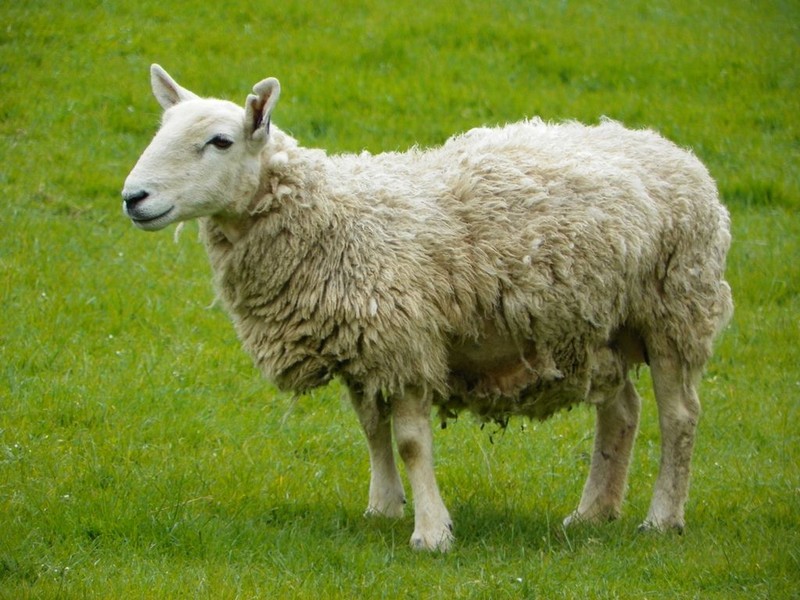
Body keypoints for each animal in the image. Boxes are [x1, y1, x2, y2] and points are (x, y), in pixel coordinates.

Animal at [120, 67, 732, 552]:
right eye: (160, 132)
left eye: (220, 141)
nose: (133, 198)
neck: (334, 218)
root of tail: (673, 150)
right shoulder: (363, 344)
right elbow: (371, 430)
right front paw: (383, 508)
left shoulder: (407, 342)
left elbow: (412, 441)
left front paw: (432, 532)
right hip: (595, 328)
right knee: (621, 411)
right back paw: (592, 513)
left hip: (675, 306)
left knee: (679, 415)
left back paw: (661, 519)